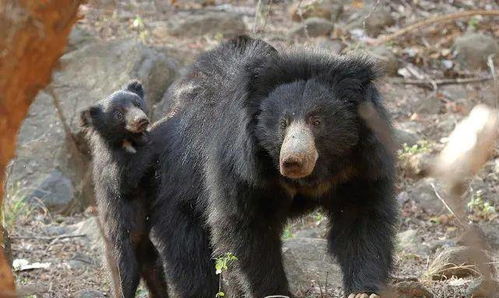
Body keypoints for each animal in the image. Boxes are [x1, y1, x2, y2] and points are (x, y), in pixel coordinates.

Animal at [80, 81, 168, 298]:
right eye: (118, 114)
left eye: (137, 103)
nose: (142, 121)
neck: (127, 141)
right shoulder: (111, 166)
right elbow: (126, 181)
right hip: (120, 251)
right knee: (125, 280)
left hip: (150, 254)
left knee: (157, 274)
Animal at [152, 37, 398, 298]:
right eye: (283, 123)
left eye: (316, 121)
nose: (292, 161)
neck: (314, 174)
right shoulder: (241, 168)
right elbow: (248, 226)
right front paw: (273, 291)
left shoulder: (360, 165)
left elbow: (361, 217)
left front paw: (364, 291)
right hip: (181, 187)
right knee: (190, 253)